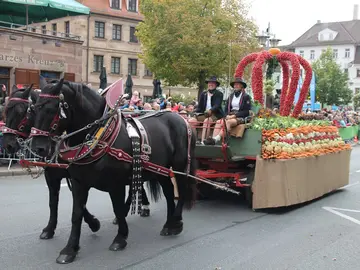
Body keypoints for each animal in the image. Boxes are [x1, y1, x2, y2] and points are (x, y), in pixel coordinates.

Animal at [30, 78, 197, 264]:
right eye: (34, 109)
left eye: (52, 109)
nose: (38, 148)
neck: (100, 136)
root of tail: (182, 119)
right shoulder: (78, 182)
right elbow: (76, 213)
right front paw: (70, 248)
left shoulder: (115, 184)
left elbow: (117, 208)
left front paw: (120, 237)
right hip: (160, 169)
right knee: (168, 191)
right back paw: (169, 223)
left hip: (180, 165)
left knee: (181, 190)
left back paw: (176, 222)